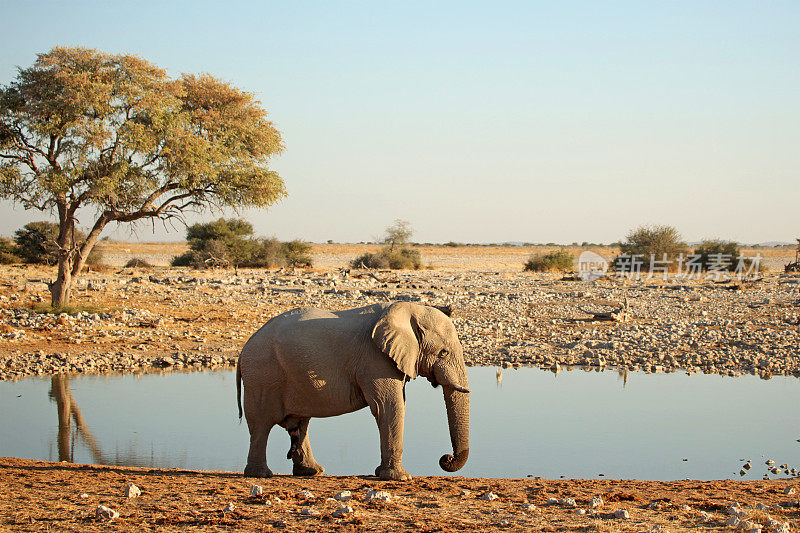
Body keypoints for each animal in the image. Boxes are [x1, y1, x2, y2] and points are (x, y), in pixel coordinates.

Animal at [233, 302, 468, 480]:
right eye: (443, 353)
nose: (446, 458)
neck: (408, 309)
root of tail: (244, 349)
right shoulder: (375, 359)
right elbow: (389, 407)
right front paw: (400, 478)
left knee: (301, 423)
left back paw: (311, 472)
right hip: (262, 375)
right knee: (261, 425)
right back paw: (260, 475)